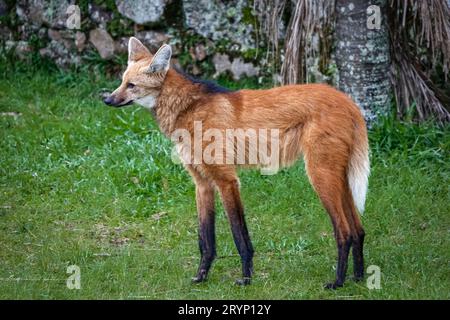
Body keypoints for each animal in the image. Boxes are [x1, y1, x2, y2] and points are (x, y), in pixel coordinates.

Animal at [104, 38, 370, 290]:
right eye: (122, 81)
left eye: (132, 85)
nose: (107, 99)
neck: (186, 109)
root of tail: (349, 101)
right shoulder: (202, 183)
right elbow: (205, 239)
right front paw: (201, 277)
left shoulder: (227, 180)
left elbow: (239, 235)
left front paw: (246, 278)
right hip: (338, 176)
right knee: (359, 229)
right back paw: (357, 278)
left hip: (320, 174)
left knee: (344, 232)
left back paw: (337, 282)